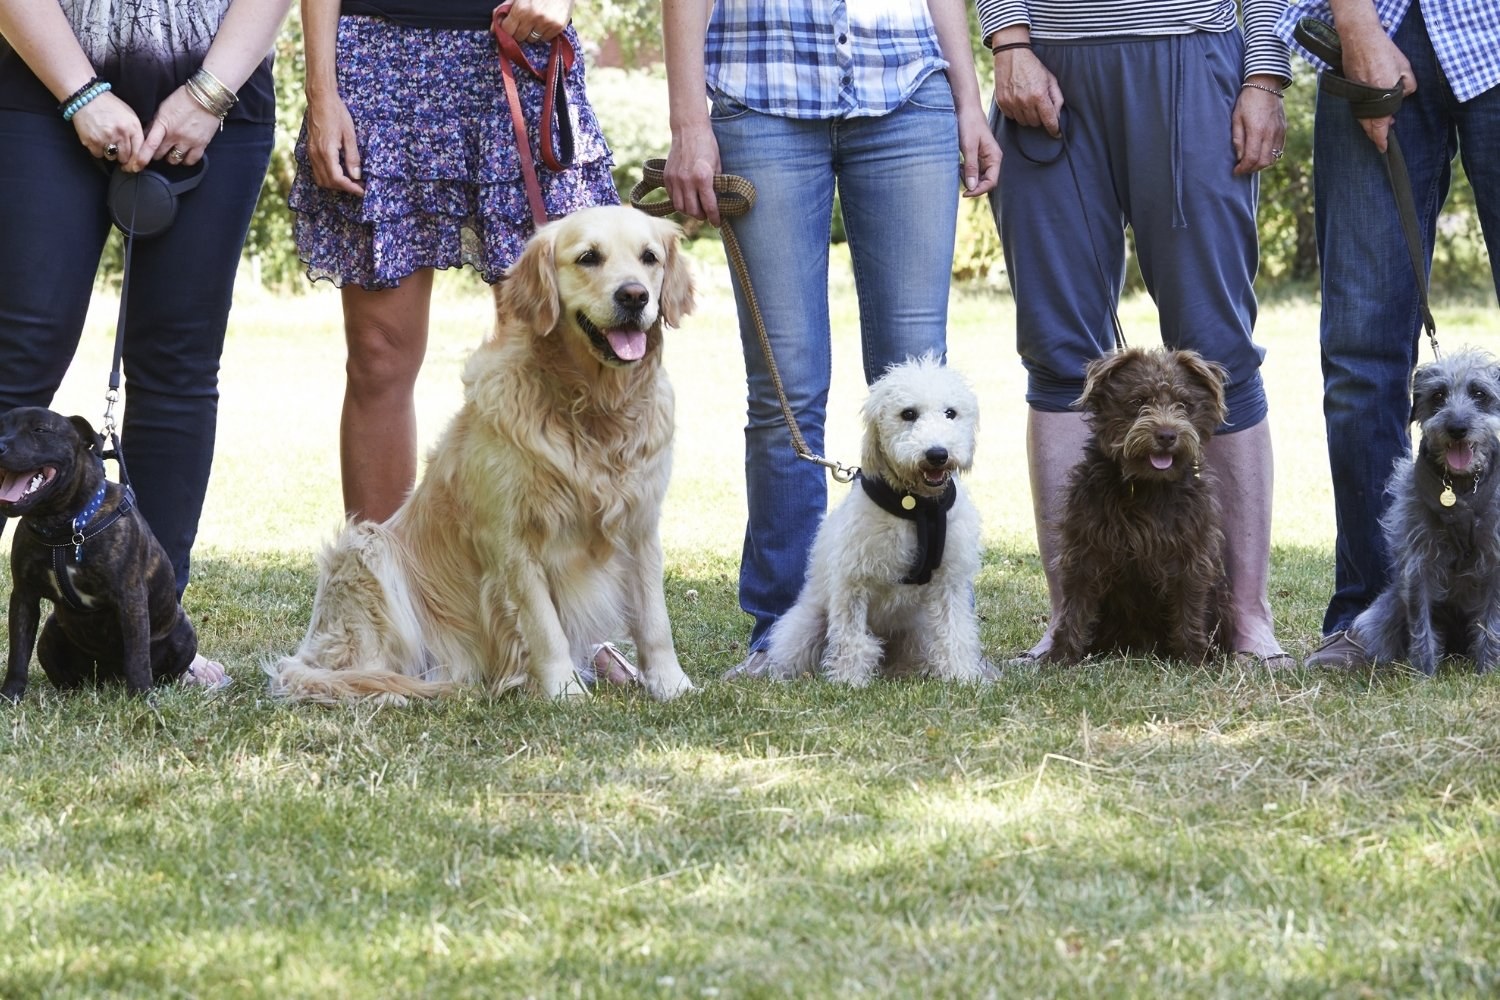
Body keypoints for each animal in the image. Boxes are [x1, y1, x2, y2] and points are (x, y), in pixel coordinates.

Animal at [768, 352, 990, 689]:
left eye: (950, 413)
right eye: (908, 413)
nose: (937, 454)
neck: (915, 507)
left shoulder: (949, 581)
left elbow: (954, 632)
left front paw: (960, 675)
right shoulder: (853, 582)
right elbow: (852, 639)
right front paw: (849, 681)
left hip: (917, 631)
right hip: (806, 623)